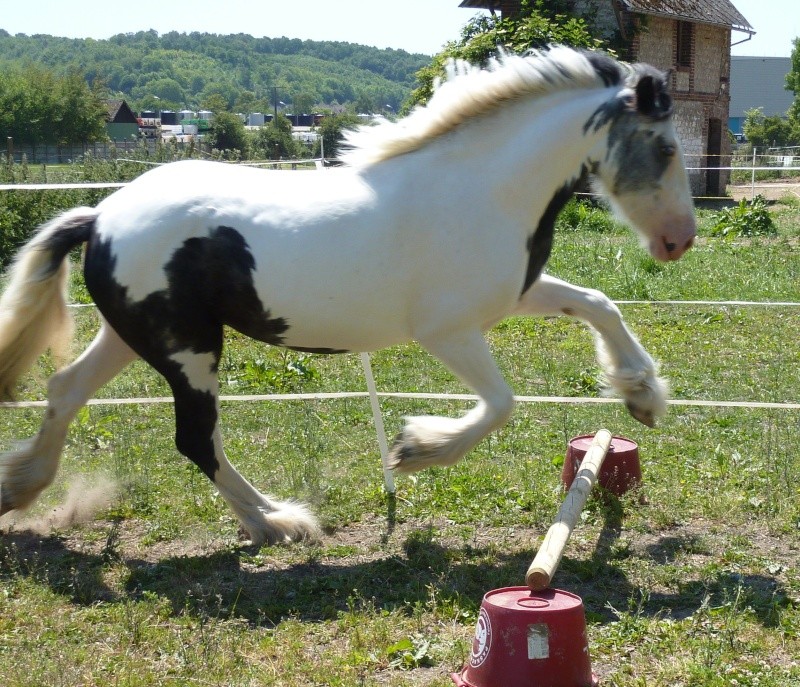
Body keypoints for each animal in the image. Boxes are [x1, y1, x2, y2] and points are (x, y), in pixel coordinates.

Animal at [0, 47, 692, 544]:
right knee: (195, 439)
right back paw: (278, 522)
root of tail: (100, 217)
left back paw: (22, 488)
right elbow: (501, 404)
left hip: (135, 337)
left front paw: (643, 397)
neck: (481, 189)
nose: (680, 239)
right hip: (190, 351)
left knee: (67, 390)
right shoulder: (448, 332)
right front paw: (415, 450)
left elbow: (598, 303)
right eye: (665, 146)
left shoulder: (514, 294)